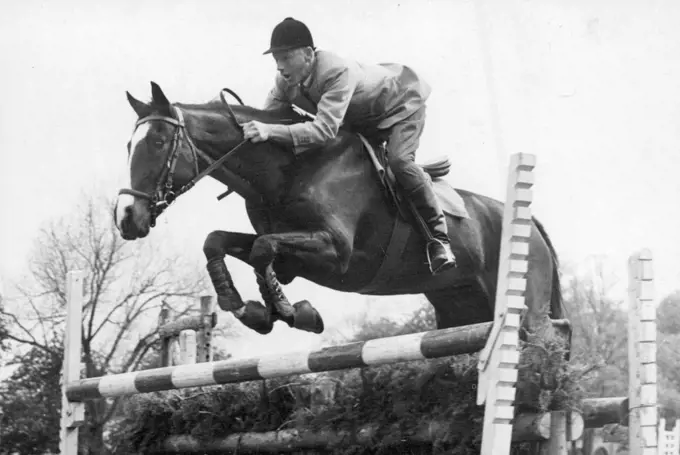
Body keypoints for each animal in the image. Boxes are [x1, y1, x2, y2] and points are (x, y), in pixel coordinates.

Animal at [114, 81, 564, 338]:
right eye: (128, 144)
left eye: (157, 142)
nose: (125, 218)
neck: (290, 168)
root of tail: (532, 227)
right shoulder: (289, 249)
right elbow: (221, 242)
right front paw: (250, 308)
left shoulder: (338, 254)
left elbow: (263, 250)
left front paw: (291, 311)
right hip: (459, 308)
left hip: (527, 312)